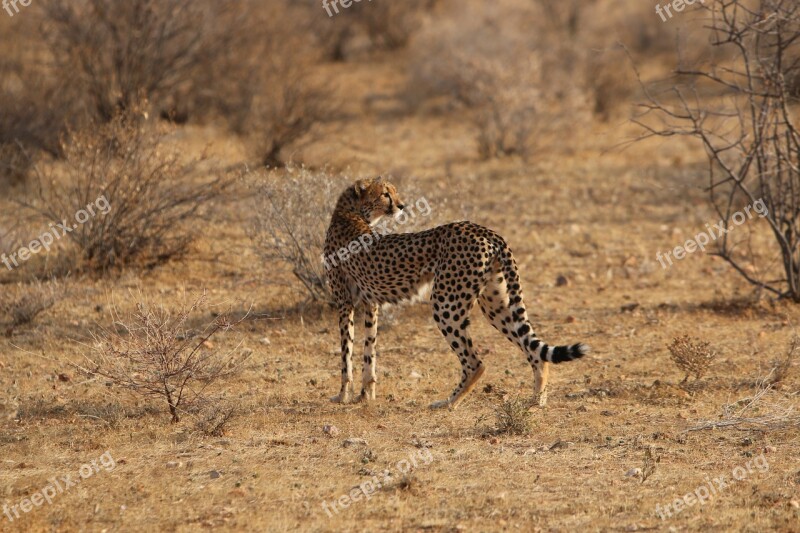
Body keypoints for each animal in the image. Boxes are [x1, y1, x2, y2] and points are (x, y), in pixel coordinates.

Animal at [322, 179, 592, 408]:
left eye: (392, 192)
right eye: (385, 193)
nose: (401, 205)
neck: (351, 212)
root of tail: (484, 230)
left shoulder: (344, 301)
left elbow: (346, 353)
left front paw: (342, 395)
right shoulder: (370, 304)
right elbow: (369, 352)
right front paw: (365, 395)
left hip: (445, 303)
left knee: (475, 363)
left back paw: (449, 402)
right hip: (496, 304)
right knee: (534, 349)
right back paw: (537, 400)